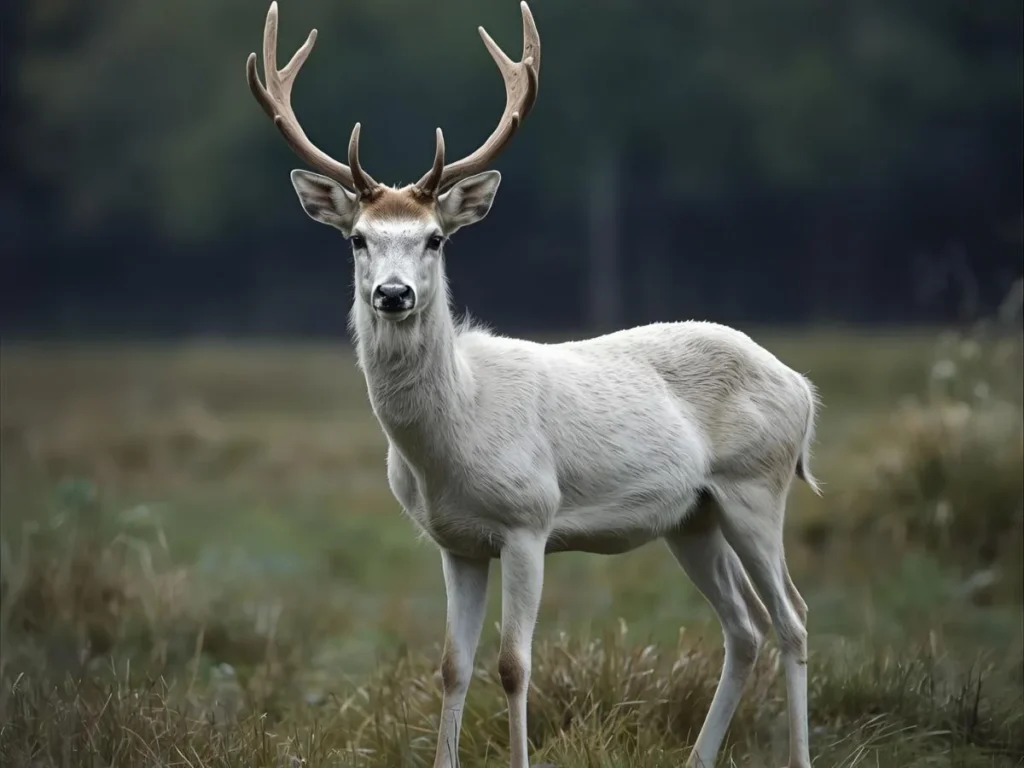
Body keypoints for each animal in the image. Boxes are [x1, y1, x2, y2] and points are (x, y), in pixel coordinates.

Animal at [247, 3, 819, 767]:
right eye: (358, 239)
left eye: (435, 238)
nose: (393, 295)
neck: (451, 439)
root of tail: (803, 387)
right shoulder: (456, 542)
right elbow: (451, 666)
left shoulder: (529, 519)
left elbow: (514, 665)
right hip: (692, 515)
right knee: (744, 626)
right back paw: (698, 757)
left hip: (757, 484)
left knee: (793, 617)